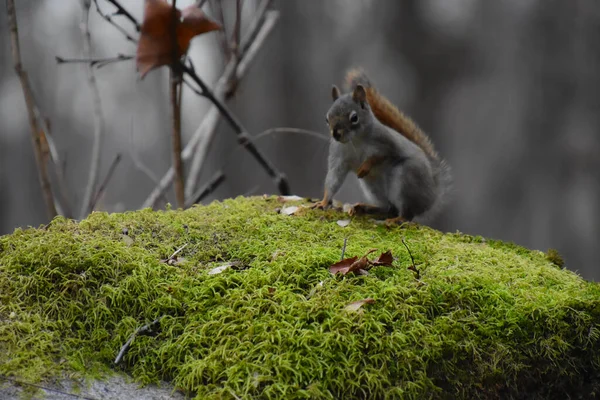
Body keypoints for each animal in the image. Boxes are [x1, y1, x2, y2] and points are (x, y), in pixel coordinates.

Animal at [314, 69, 450, 225]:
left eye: (354, 117)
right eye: (327, 118)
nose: (336, 134)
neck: (355, 141)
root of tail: (433, 194)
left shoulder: (386, 142)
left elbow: (381, 156)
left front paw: (365, 166)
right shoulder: (339, 157)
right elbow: (333, 179)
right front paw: (323, 202)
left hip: (406, 179)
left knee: (406, 213)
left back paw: (397, 219)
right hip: (372, 186)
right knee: (389, 208)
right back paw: (365, 208)